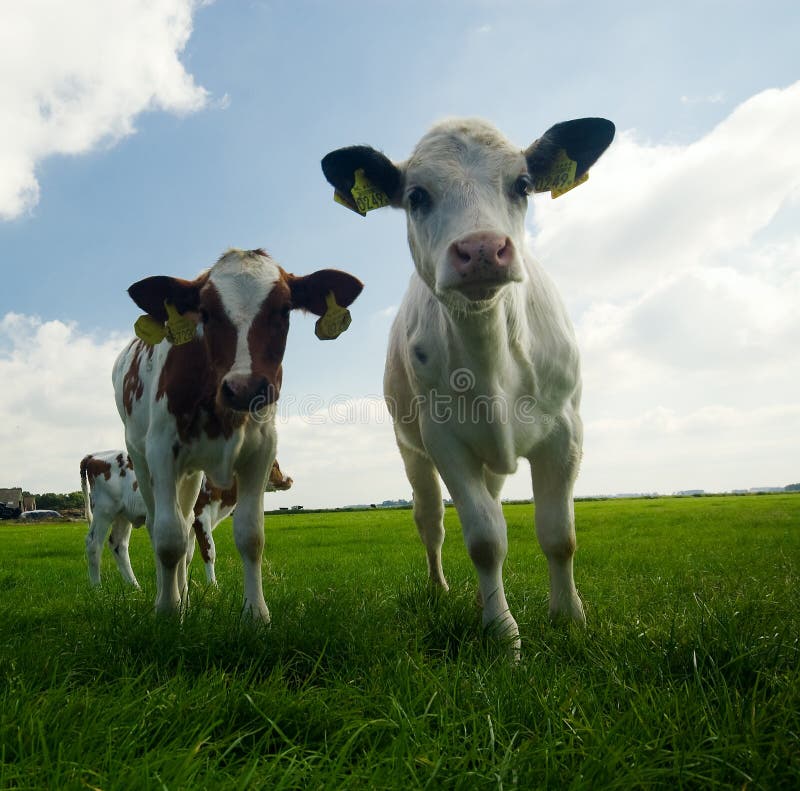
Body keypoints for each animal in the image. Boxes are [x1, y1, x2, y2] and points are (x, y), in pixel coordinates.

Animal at [81, 451, 292, 587]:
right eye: (274, 465)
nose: (289, 479)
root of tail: (94, 456)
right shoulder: (201, 516)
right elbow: (209, 551)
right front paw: (213, 586)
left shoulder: (189, 525)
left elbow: (187, 556)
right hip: (104, 510)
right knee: (93, 544)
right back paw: (97, 588)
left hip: (123, 514)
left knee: (118, 545)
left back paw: (135, 587)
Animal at [112, 248, 362, 618]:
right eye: (205, 312)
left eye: (284, 309)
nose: (245, 388)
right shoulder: (161, 451)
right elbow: (168, 538)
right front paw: (168, 612)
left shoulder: (261, 452)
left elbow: (251, 536)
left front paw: (256, 614)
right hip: (142, 462)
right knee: (163, 525)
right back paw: (168, 597)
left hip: (191, 476)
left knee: (185, 525)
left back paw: (186, 596)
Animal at [322, 117, 614, 652]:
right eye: (416, 195)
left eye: (523, 184)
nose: (481, 250)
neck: (493, 354)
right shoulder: (445, 441)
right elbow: (484, 540)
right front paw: (503, 634)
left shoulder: (566, 432)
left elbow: (559, 534)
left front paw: (568, 619)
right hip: (412, 450)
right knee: (431, 522)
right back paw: (441, 588)